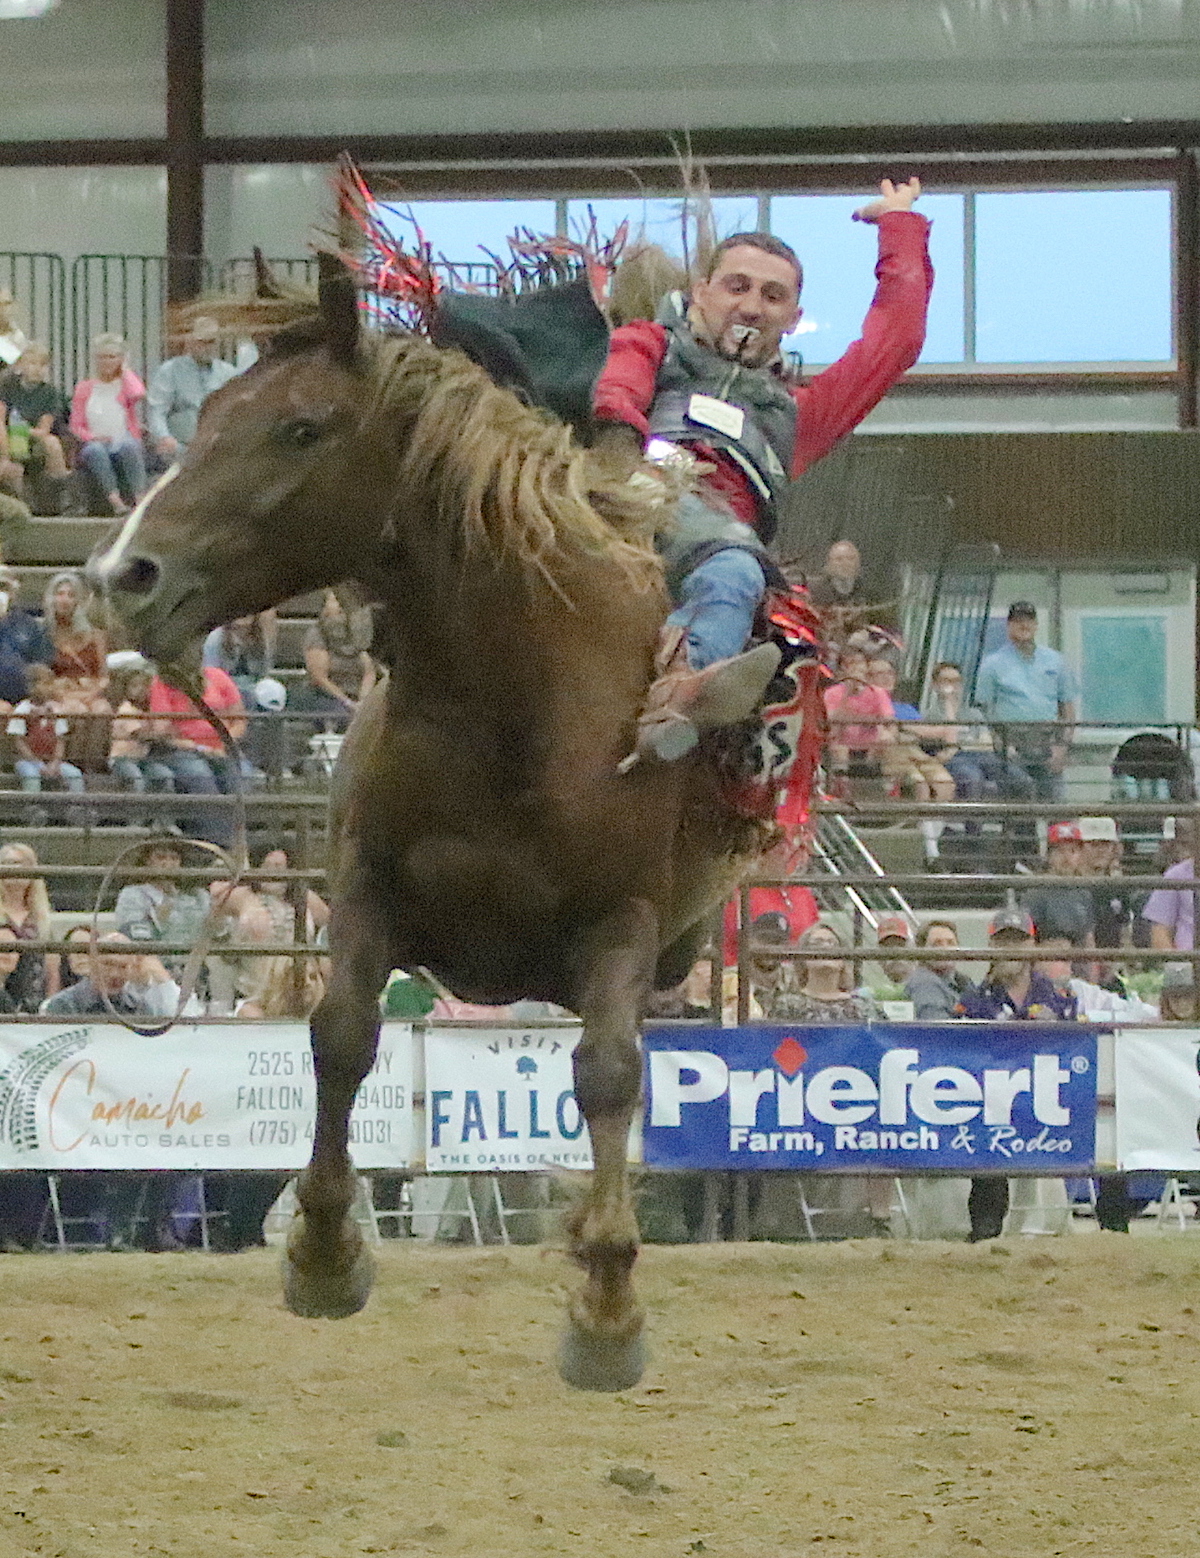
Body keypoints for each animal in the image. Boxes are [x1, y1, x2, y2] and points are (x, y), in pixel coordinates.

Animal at [91, 255, 757, 1389]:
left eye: (302, 427)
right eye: (208, 411)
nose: (125, 574)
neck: (512, 695)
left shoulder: (622, 921)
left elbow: (609, 1074)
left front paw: (608, 1305)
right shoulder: (368, 889)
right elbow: (341, 1035)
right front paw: (322, 1249)